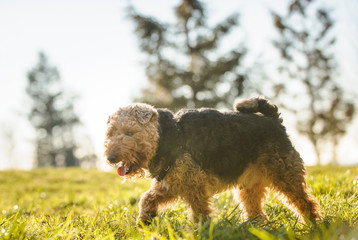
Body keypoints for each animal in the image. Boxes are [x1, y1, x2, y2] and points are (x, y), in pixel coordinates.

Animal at [104, 96, 322, 224]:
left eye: (129, 132)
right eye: (111, 133)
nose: (111, 158)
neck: (164, 135)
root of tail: (274, 120)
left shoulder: (193, 184)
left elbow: (200, 212)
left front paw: (201, 229)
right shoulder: (170, 184)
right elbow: (147, 199)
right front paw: (144, 222)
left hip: (286, 175)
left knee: (306, 202)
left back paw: (313, 224)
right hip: (249, 185)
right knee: (256, 210)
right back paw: (255, 226)